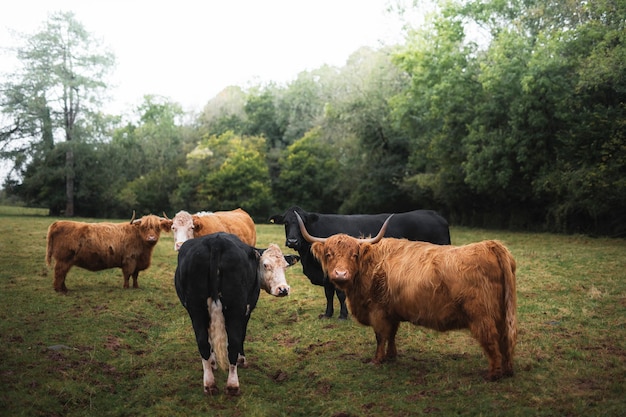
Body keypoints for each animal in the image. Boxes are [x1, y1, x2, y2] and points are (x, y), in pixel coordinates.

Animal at [172, 232, 296, 394]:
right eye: (265, 265)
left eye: (285, 266)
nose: (283, 289)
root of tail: (216, 242)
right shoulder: (246, 309)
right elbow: (241, 335)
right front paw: (241, 359)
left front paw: (213, 362)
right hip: (234, 309)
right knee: (233, 343)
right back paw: (232, 384)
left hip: (196, 309)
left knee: (203, 343)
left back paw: (209, 383)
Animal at [268, 206, 448, 318]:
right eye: (285, 222)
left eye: (302, 222)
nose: (292, 241)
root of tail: (435, 215)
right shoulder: (326, 276)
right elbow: (329, 294)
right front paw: (327, 314)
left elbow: (340, 294)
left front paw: (343, 315)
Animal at [294, 213, 516, 378]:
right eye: (329, 254)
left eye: (354, 255)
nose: (340, 274)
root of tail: (490, 245)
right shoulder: (391, 312)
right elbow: (392, 334)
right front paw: (392, 357)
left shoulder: (378, 311)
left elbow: (380, 336)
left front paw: (377, 360)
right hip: (501, 314)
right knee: (505, 339)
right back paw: (507, 370)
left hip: (481, 316)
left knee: (491, 339)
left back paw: (493, 374)